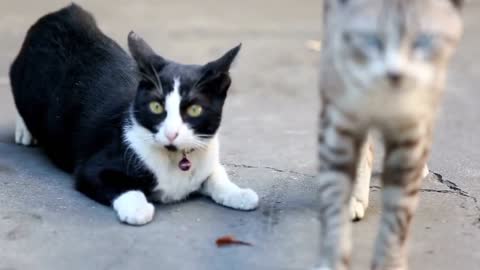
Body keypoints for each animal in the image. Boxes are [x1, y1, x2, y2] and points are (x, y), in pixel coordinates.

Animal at [8, 3, 258, 226]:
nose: (171, 134)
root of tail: (65, 12)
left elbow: (216, 174)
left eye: (194, 110)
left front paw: (240, 194)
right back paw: (25, 132)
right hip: (22, 78)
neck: (174, 157)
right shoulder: (93, 167)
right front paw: (138, 209)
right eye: (156, 107)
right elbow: (123, 186)